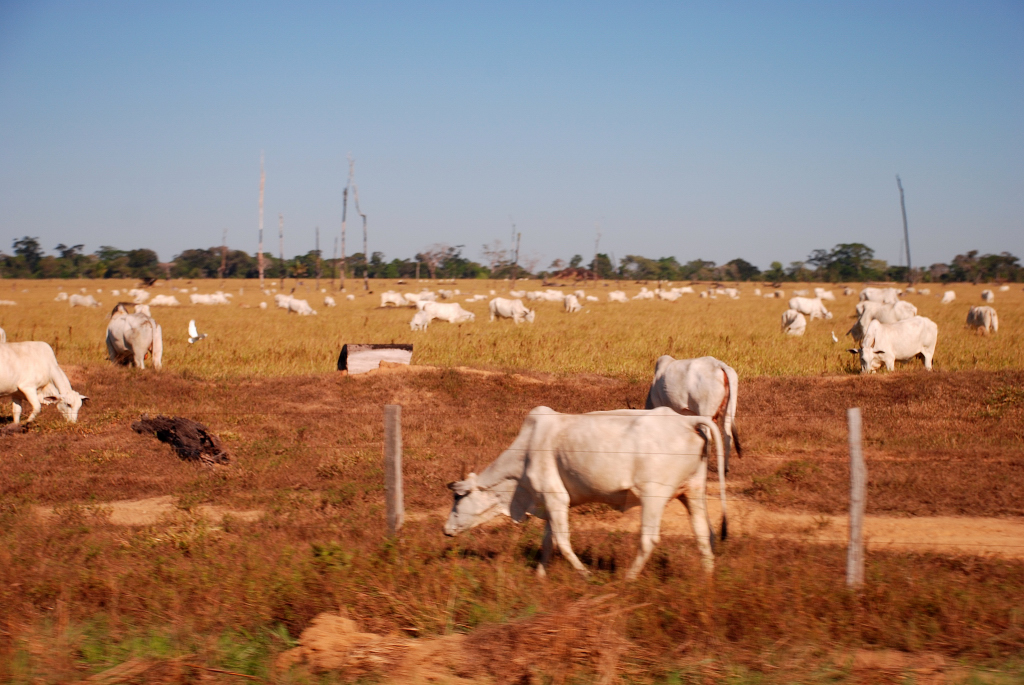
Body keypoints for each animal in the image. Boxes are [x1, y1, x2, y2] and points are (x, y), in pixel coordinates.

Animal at [444, 405, 724, 577]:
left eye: (458, 496)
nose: (445, 530)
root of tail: (686, 420)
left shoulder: (556, 498)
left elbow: (563, 542)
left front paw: (585, 574)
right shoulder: (549, 503)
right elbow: (548, 541)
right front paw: (540, 575)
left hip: (653, 497)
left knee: (649, 540)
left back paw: (628, 580)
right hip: (693, 491)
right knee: (704, 534)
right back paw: (707, 581)